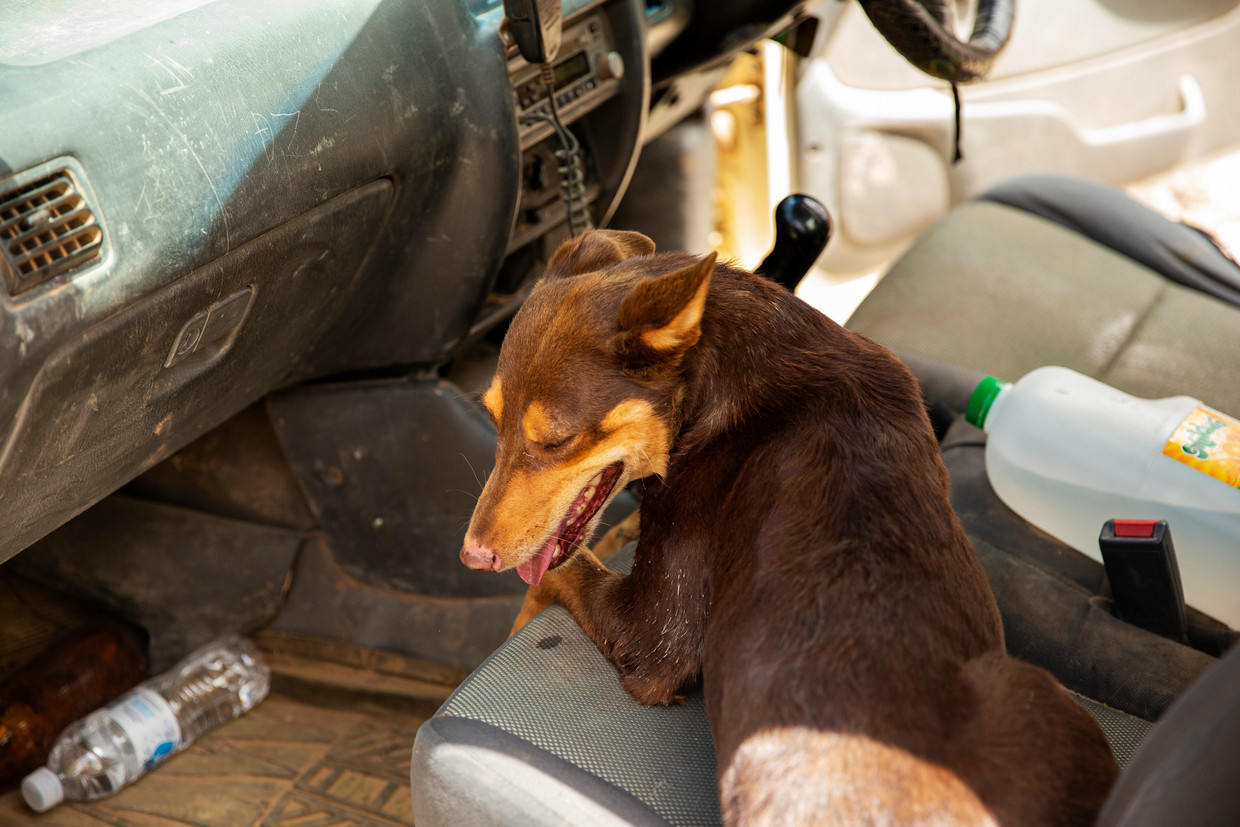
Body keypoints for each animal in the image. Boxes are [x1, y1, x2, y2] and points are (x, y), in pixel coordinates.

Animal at [461, 229, 1120, 823]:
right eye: (491, 419)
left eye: (556, 441)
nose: (471, 557)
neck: (715, 375)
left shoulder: (654, 640)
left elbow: (562, 573)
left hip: (1039, 694)